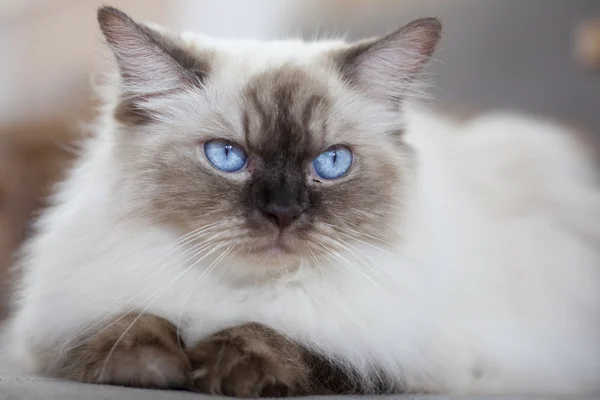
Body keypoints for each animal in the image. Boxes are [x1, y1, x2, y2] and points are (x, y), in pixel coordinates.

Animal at [4, 4, 600, 398]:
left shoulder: (432, 359)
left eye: (331, 163)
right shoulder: (56, 324)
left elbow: (296, 343)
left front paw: (222, 366)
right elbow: (121, 328)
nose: (283, 214)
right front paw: (156, 364)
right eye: (227, 156)